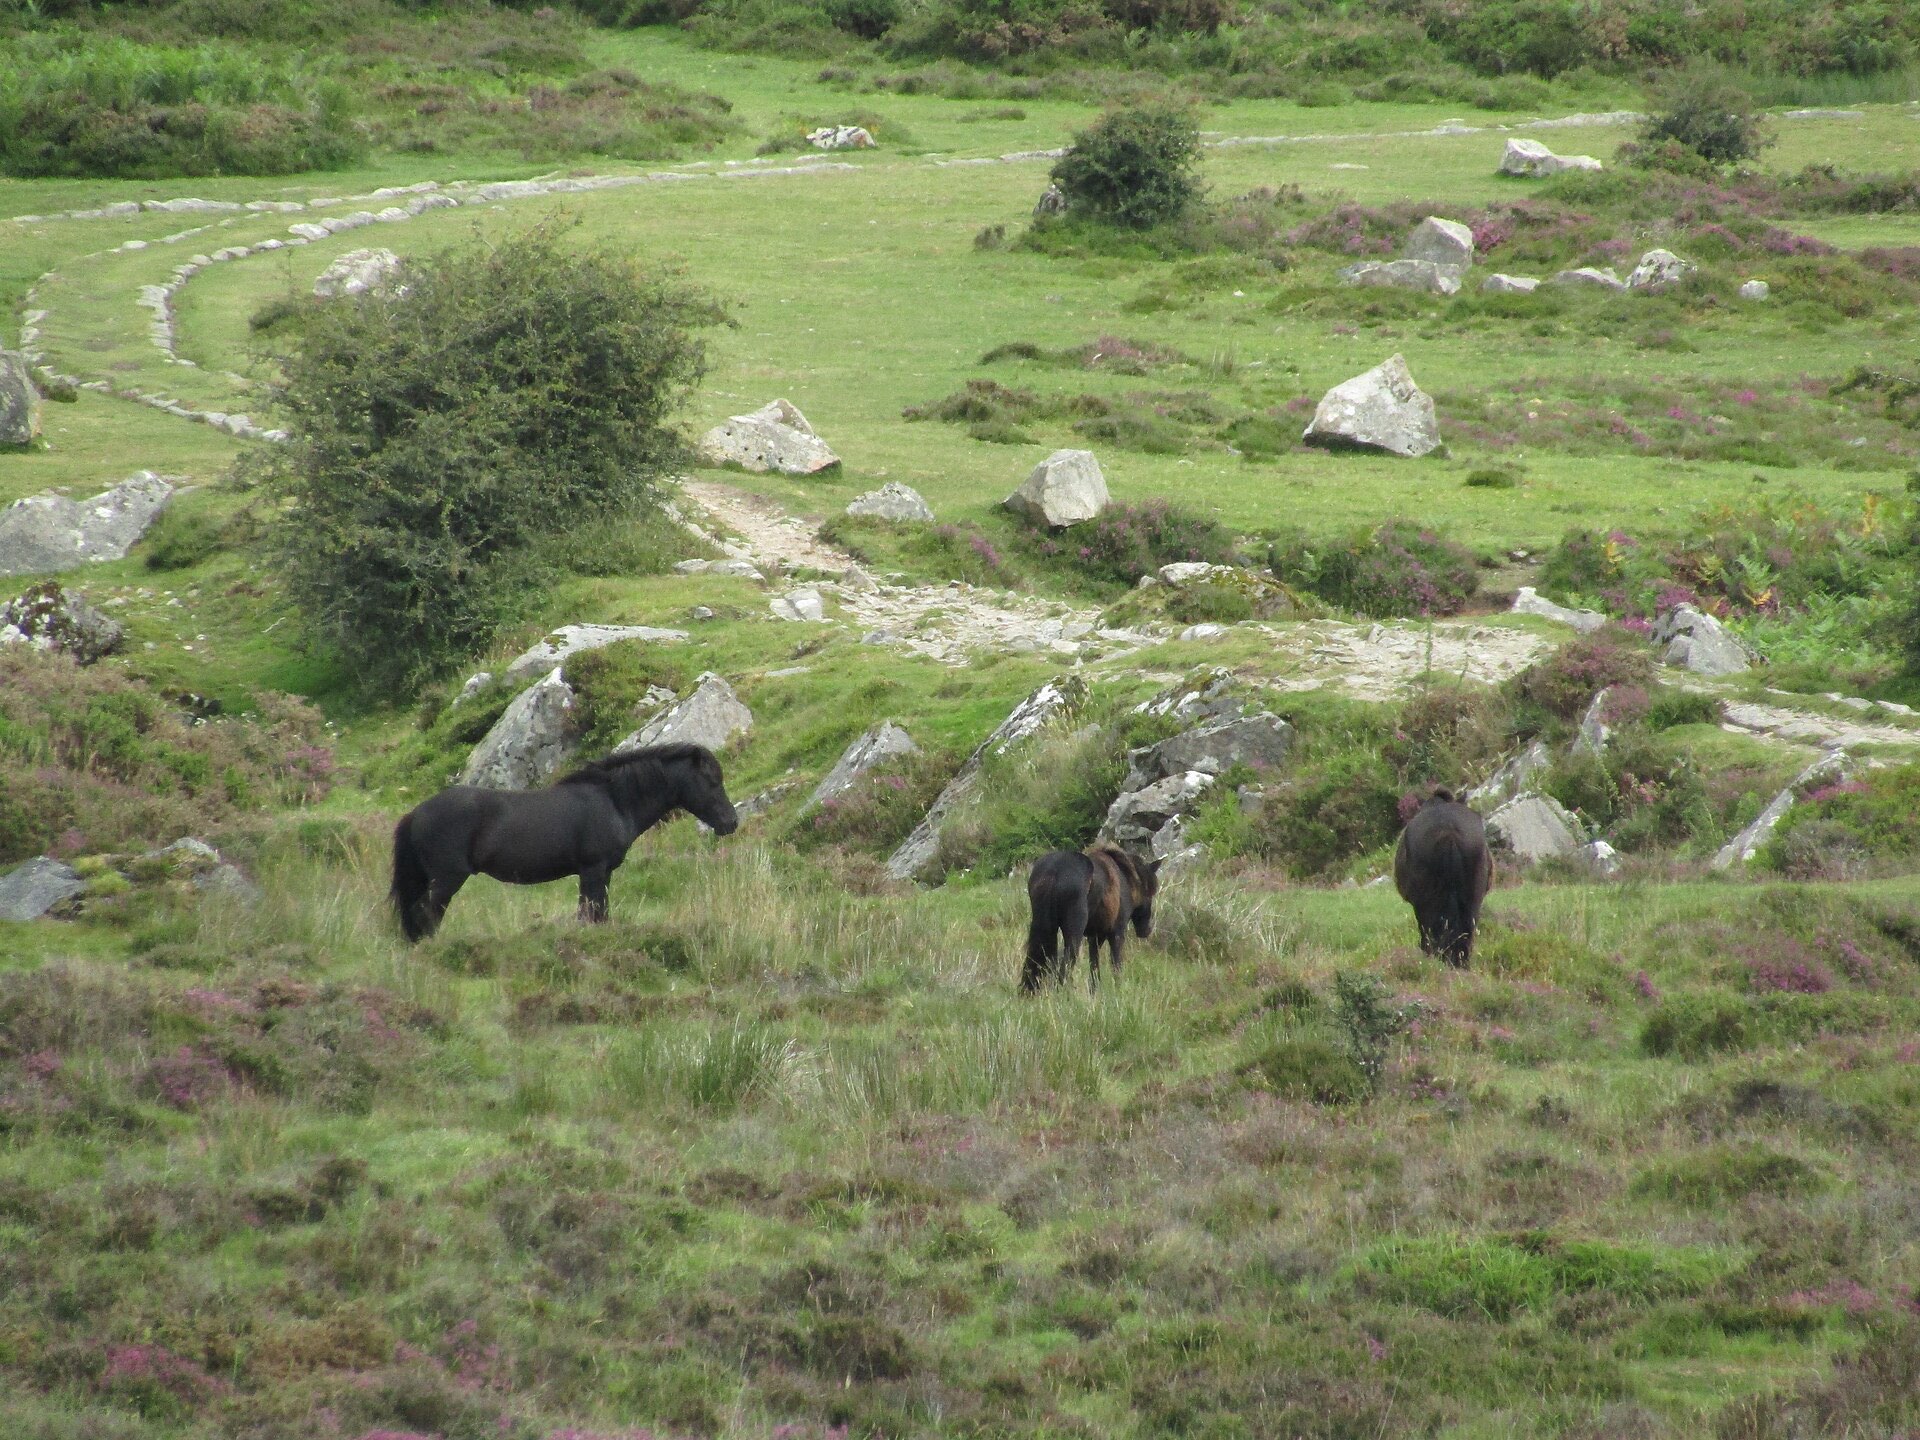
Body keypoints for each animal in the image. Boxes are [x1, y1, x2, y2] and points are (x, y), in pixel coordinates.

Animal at [390, 743, 739, 942]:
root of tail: (415, 813)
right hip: (447, 878)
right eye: (712, 781)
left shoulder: (601, 873)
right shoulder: (594, 870)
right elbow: (591, 913)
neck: (613, 801)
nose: (731, 822)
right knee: (426, 914)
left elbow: (597, 913)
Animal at [1021, 845, 1161, 994]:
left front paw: (1094, 992)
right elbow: (1115, 964)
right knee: (1066, 963)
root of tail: (1054, 872)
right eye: (1150, 894)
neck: (1127, 879)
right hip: (1074, 931)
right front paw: (1117, 989)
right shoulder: (1116, 932)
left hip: (1044, 926)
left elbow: (1094, 965)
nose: (1147, 930)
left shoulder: (1095, 936)